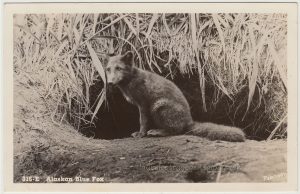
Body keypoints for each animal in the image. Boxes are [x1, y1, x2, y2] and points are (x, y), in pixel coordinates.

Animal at [104, 51, 245, 142]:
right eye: (108, 69)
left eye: (119, 68)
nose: (109, 82)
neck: (131, 80)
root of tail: (189, 121)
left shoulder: (143, 104)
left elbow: (143, 121)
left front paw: (141, 134)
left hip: (159, 107)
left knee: (176, 130)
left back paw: (156, 132)